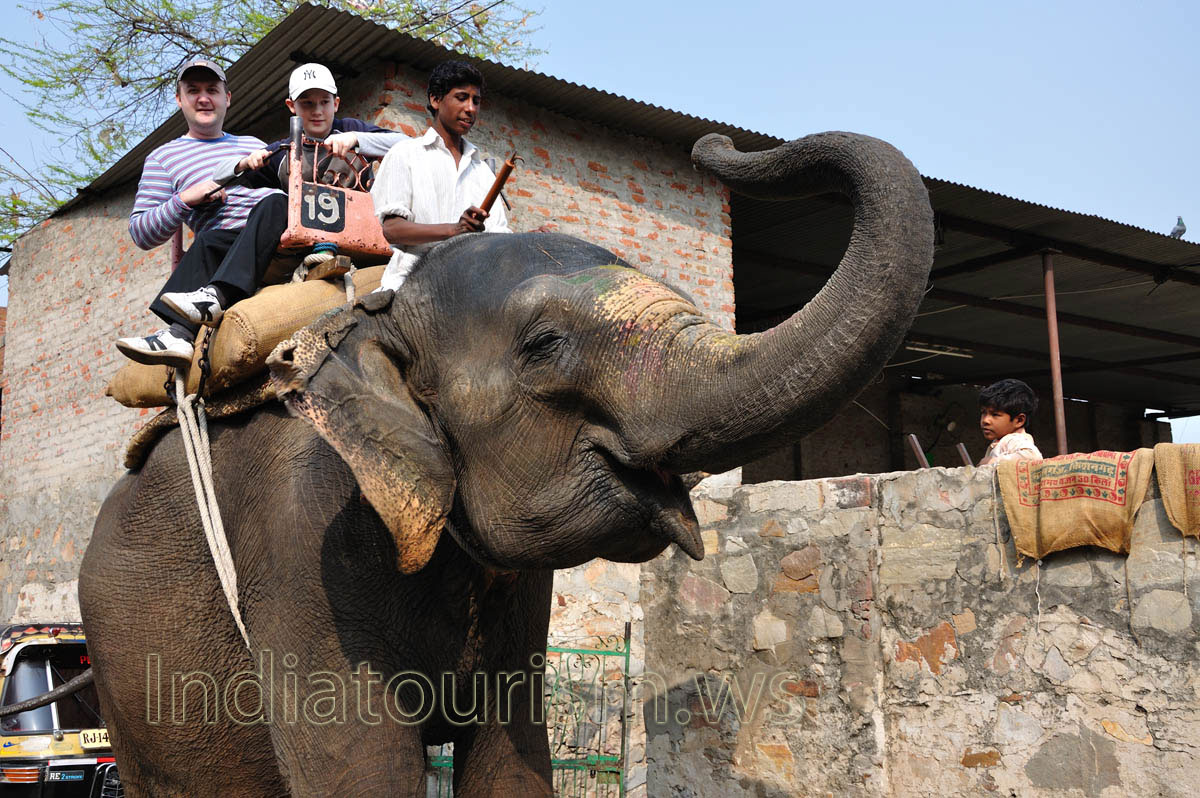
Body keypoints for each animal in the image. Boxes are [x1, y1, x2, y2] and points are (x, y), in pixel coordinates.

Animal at [77, 131, 933, 797]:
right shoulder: (301, 551)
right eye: (544, 345)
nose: (711, 143)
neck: (375, 323)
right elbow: (366, 771)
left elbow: (509, 763)